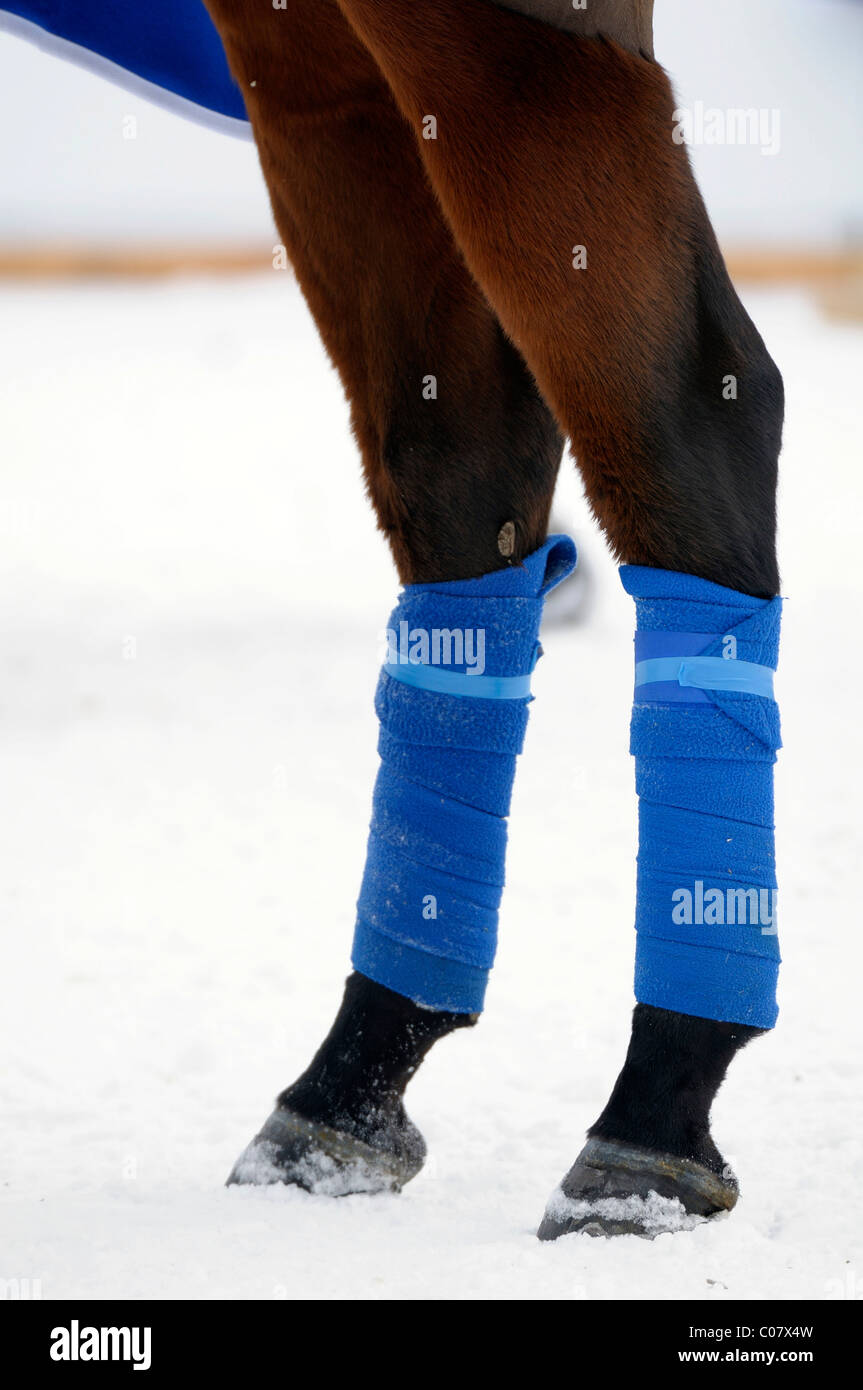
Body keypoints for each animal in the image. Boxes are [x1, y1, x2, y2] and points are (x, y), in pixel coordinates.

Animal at [6, 0, 783, 1239]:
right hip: (324, 75)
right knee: (463, 467)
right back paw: (354, 1079)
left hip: (508, 50)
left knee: (678, 417)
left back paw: (652, 1111)